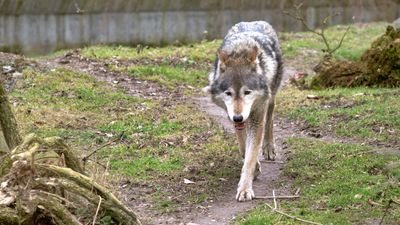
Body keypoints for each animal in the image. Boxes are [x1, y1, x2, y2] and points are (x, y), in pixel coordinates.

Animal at [205, 20, 282, 200]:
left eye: (247, 92)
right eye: (229, 93)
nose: (238, 118)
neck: (239, 51)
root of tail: (255, 21)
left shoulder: (256, 118)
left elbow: (250, 156)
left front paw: (245, 189)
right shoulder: (231, 115)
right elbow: (243, 147)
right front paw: (255, 167)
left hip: (271, 98)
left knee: (270, 119)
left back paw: (269, 148)